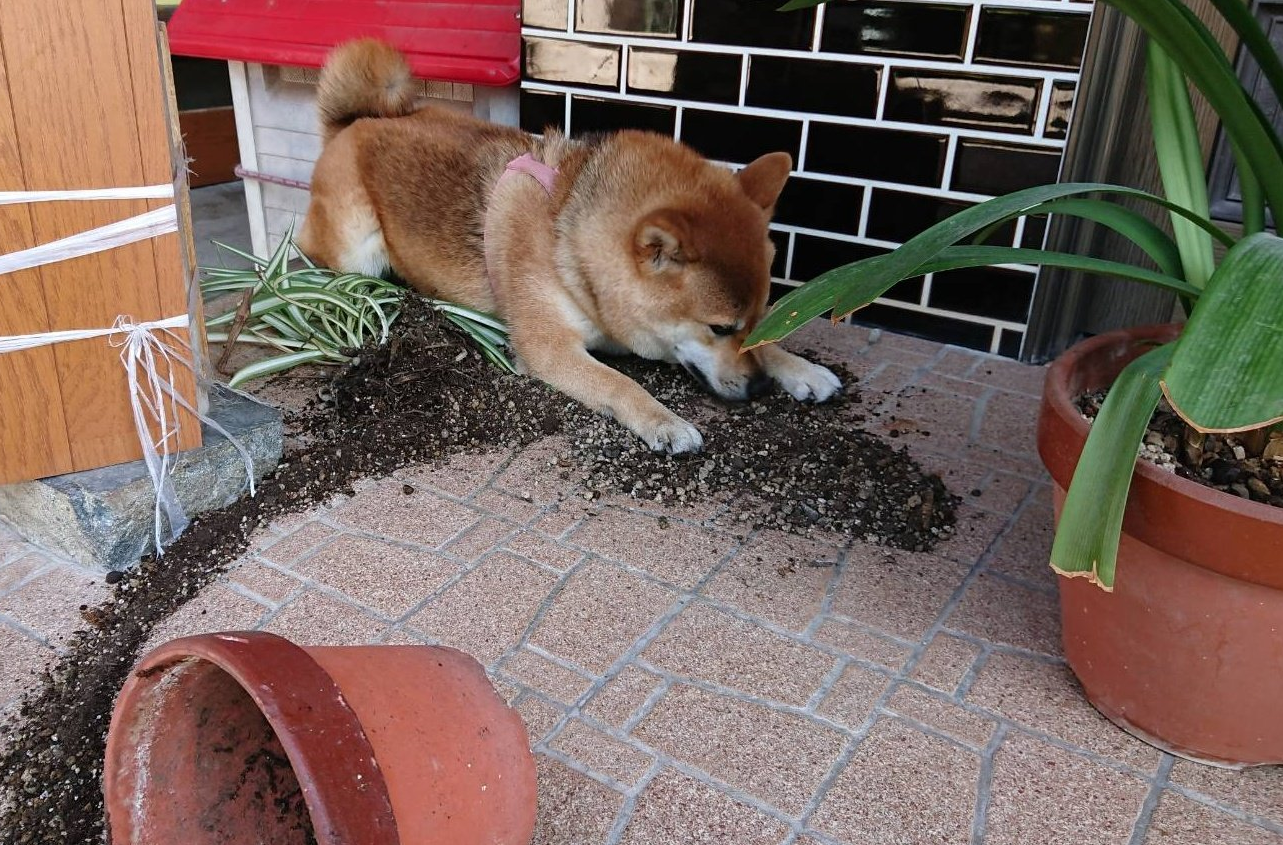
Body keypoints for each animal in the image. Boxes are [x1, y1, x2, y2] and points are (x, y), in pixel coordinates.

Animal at [298, 37, 841, 456]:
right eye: (719, 328)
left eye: (758, 319)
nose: (759, 388)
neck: (567, 237)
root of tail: (354, 123)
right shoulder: (550, 346)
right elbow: (619, 382)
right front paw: (664, 422)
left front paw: (799, 368)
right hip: (355, 245)